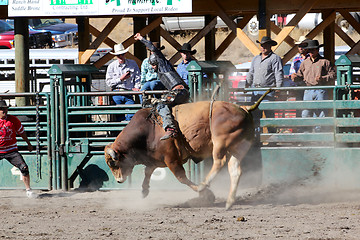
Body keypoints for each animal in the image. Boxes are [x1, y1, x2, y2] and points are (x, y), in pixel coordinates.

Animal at [104, 89, 270, 209]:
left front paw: (206, 194)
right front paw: (144, 190)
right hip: (239, 147)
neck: (148, 129)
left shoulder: (171, 159)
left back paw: (204, 184)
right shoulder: (155, 160)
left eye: (113, 163)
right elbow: (147, 172)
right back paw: (229, 202)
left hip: (220, 143)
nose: (118, 181)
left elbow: (181, 177)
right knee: (235, 170)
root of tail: (244, 108)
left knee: (219, 162)